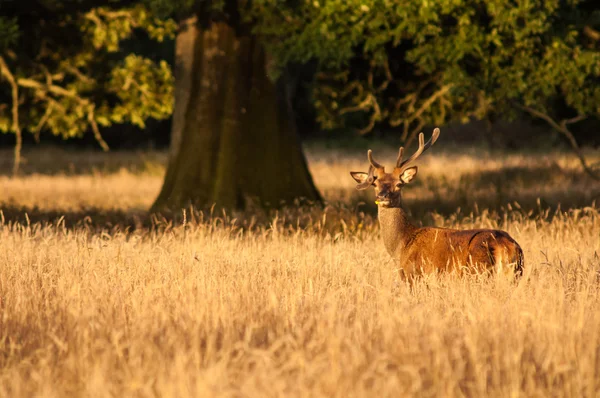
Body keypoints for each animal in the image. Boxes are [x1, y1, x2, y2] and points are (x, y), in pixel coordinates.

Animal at [350, 129, 524, 282]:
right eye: (375, 184)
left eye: (399, 184)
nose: (382, 196)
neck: (401, 245)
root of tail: (505, 245)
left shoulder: (413, 274)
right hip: (515, 272)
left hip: (477, 271)